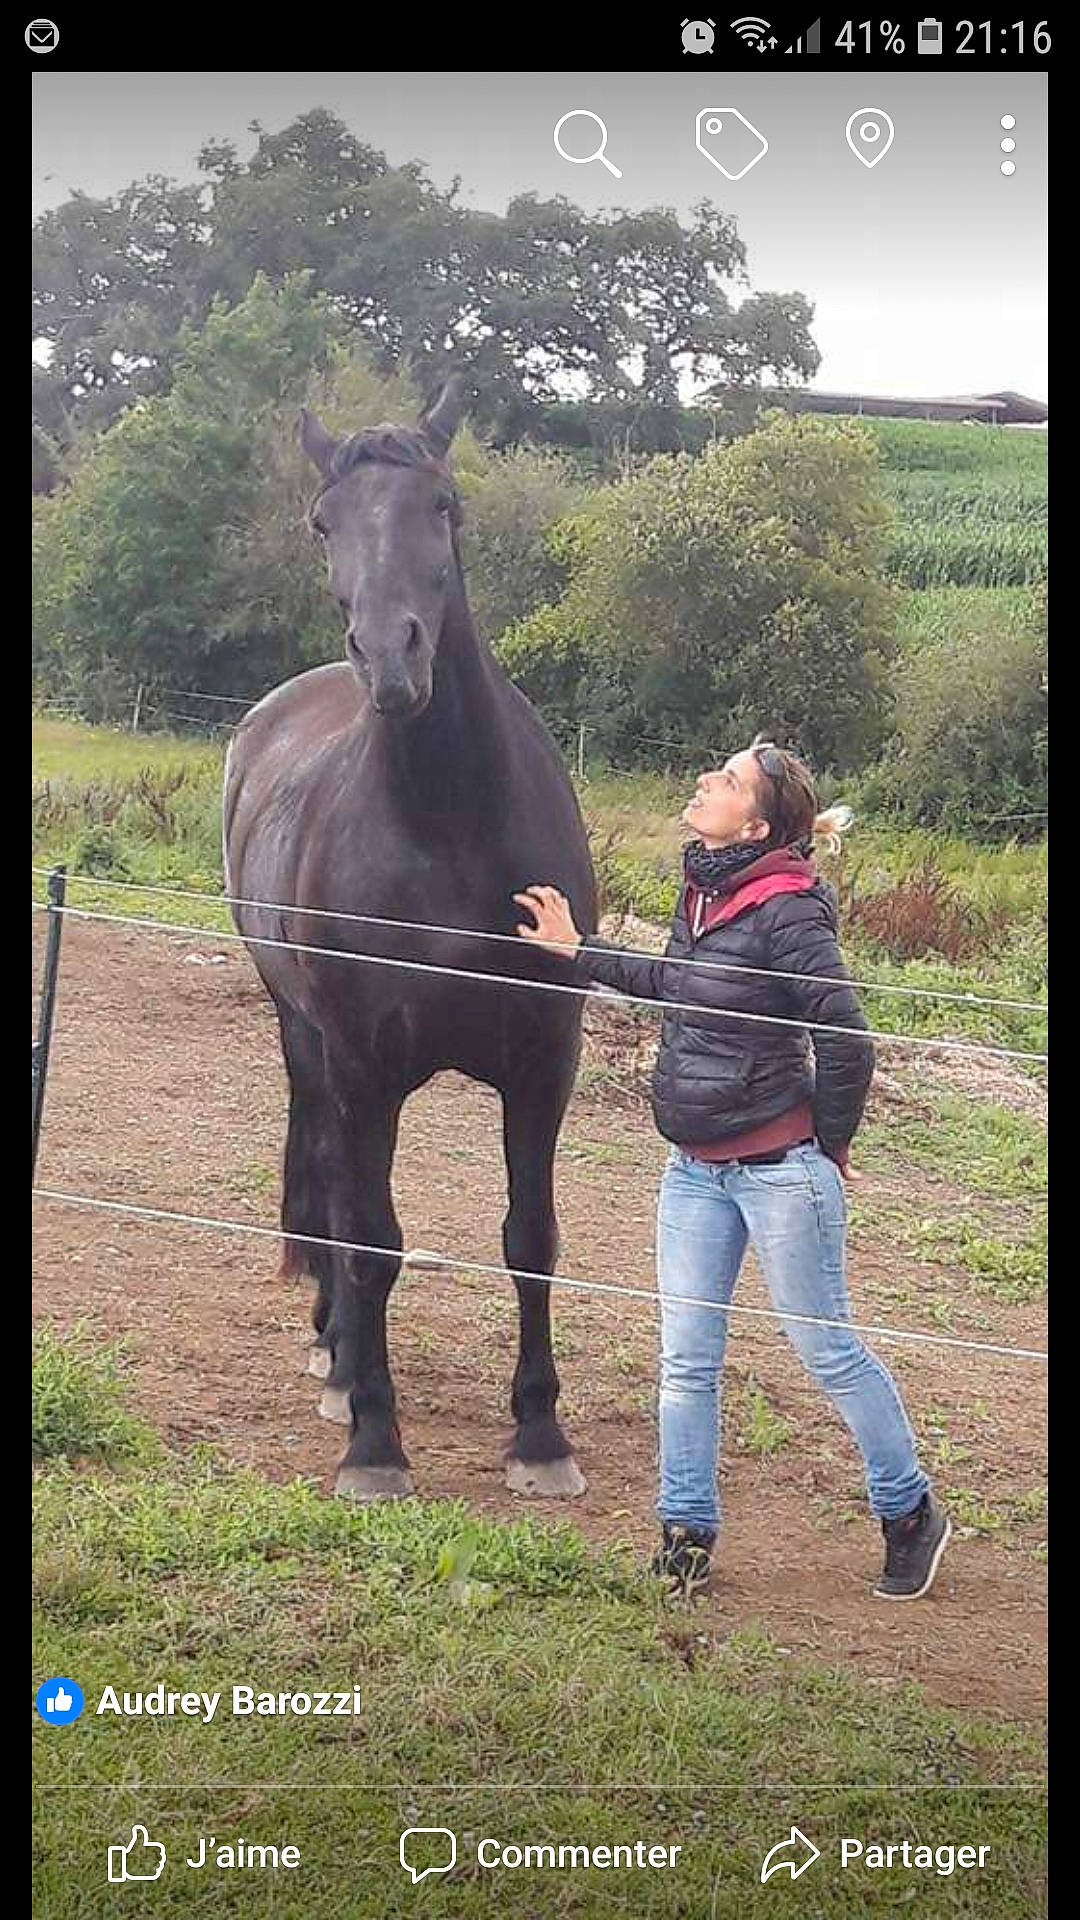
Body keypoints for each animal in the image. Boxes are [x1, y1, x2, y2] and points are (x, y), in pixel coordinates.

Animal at [222, 376, 597, 1501]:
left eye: (444, 505)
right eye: (324, 522)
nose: (392, 660)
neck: (448, 825)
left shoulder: (543, 1061)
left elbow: (532, 1236)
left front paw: (540, 1436)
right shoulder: (364, 1065)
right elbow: (373, 1240)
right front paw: (375, 1443)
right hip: (309, 1041)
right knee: (335, 1198)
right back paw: (341, 1361)